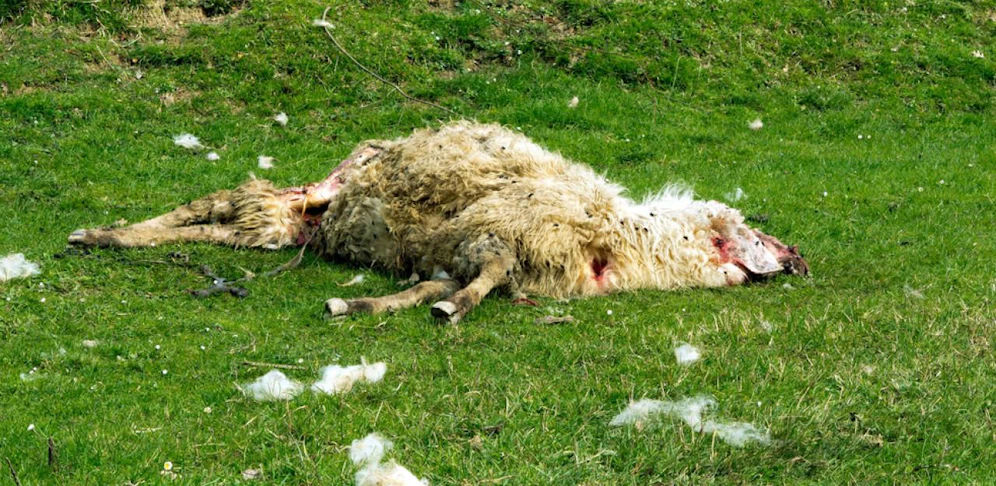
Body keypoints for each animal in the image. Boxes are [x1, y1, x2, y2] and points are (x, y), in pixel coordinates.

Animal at [69, 121, 808, 323]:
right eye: (755, 232)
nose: (797, 256)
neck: (621, 240)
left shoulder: (478, 247)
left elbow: (448, 283)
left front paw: (370, 305)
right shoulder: (502, 230)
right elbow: (476, 280)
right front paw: (440, 309)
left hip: (301, 219)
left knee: (229, 217)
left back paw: (114, 235)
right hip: (325, 200)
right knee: (220, 202)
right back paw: (97, 235)